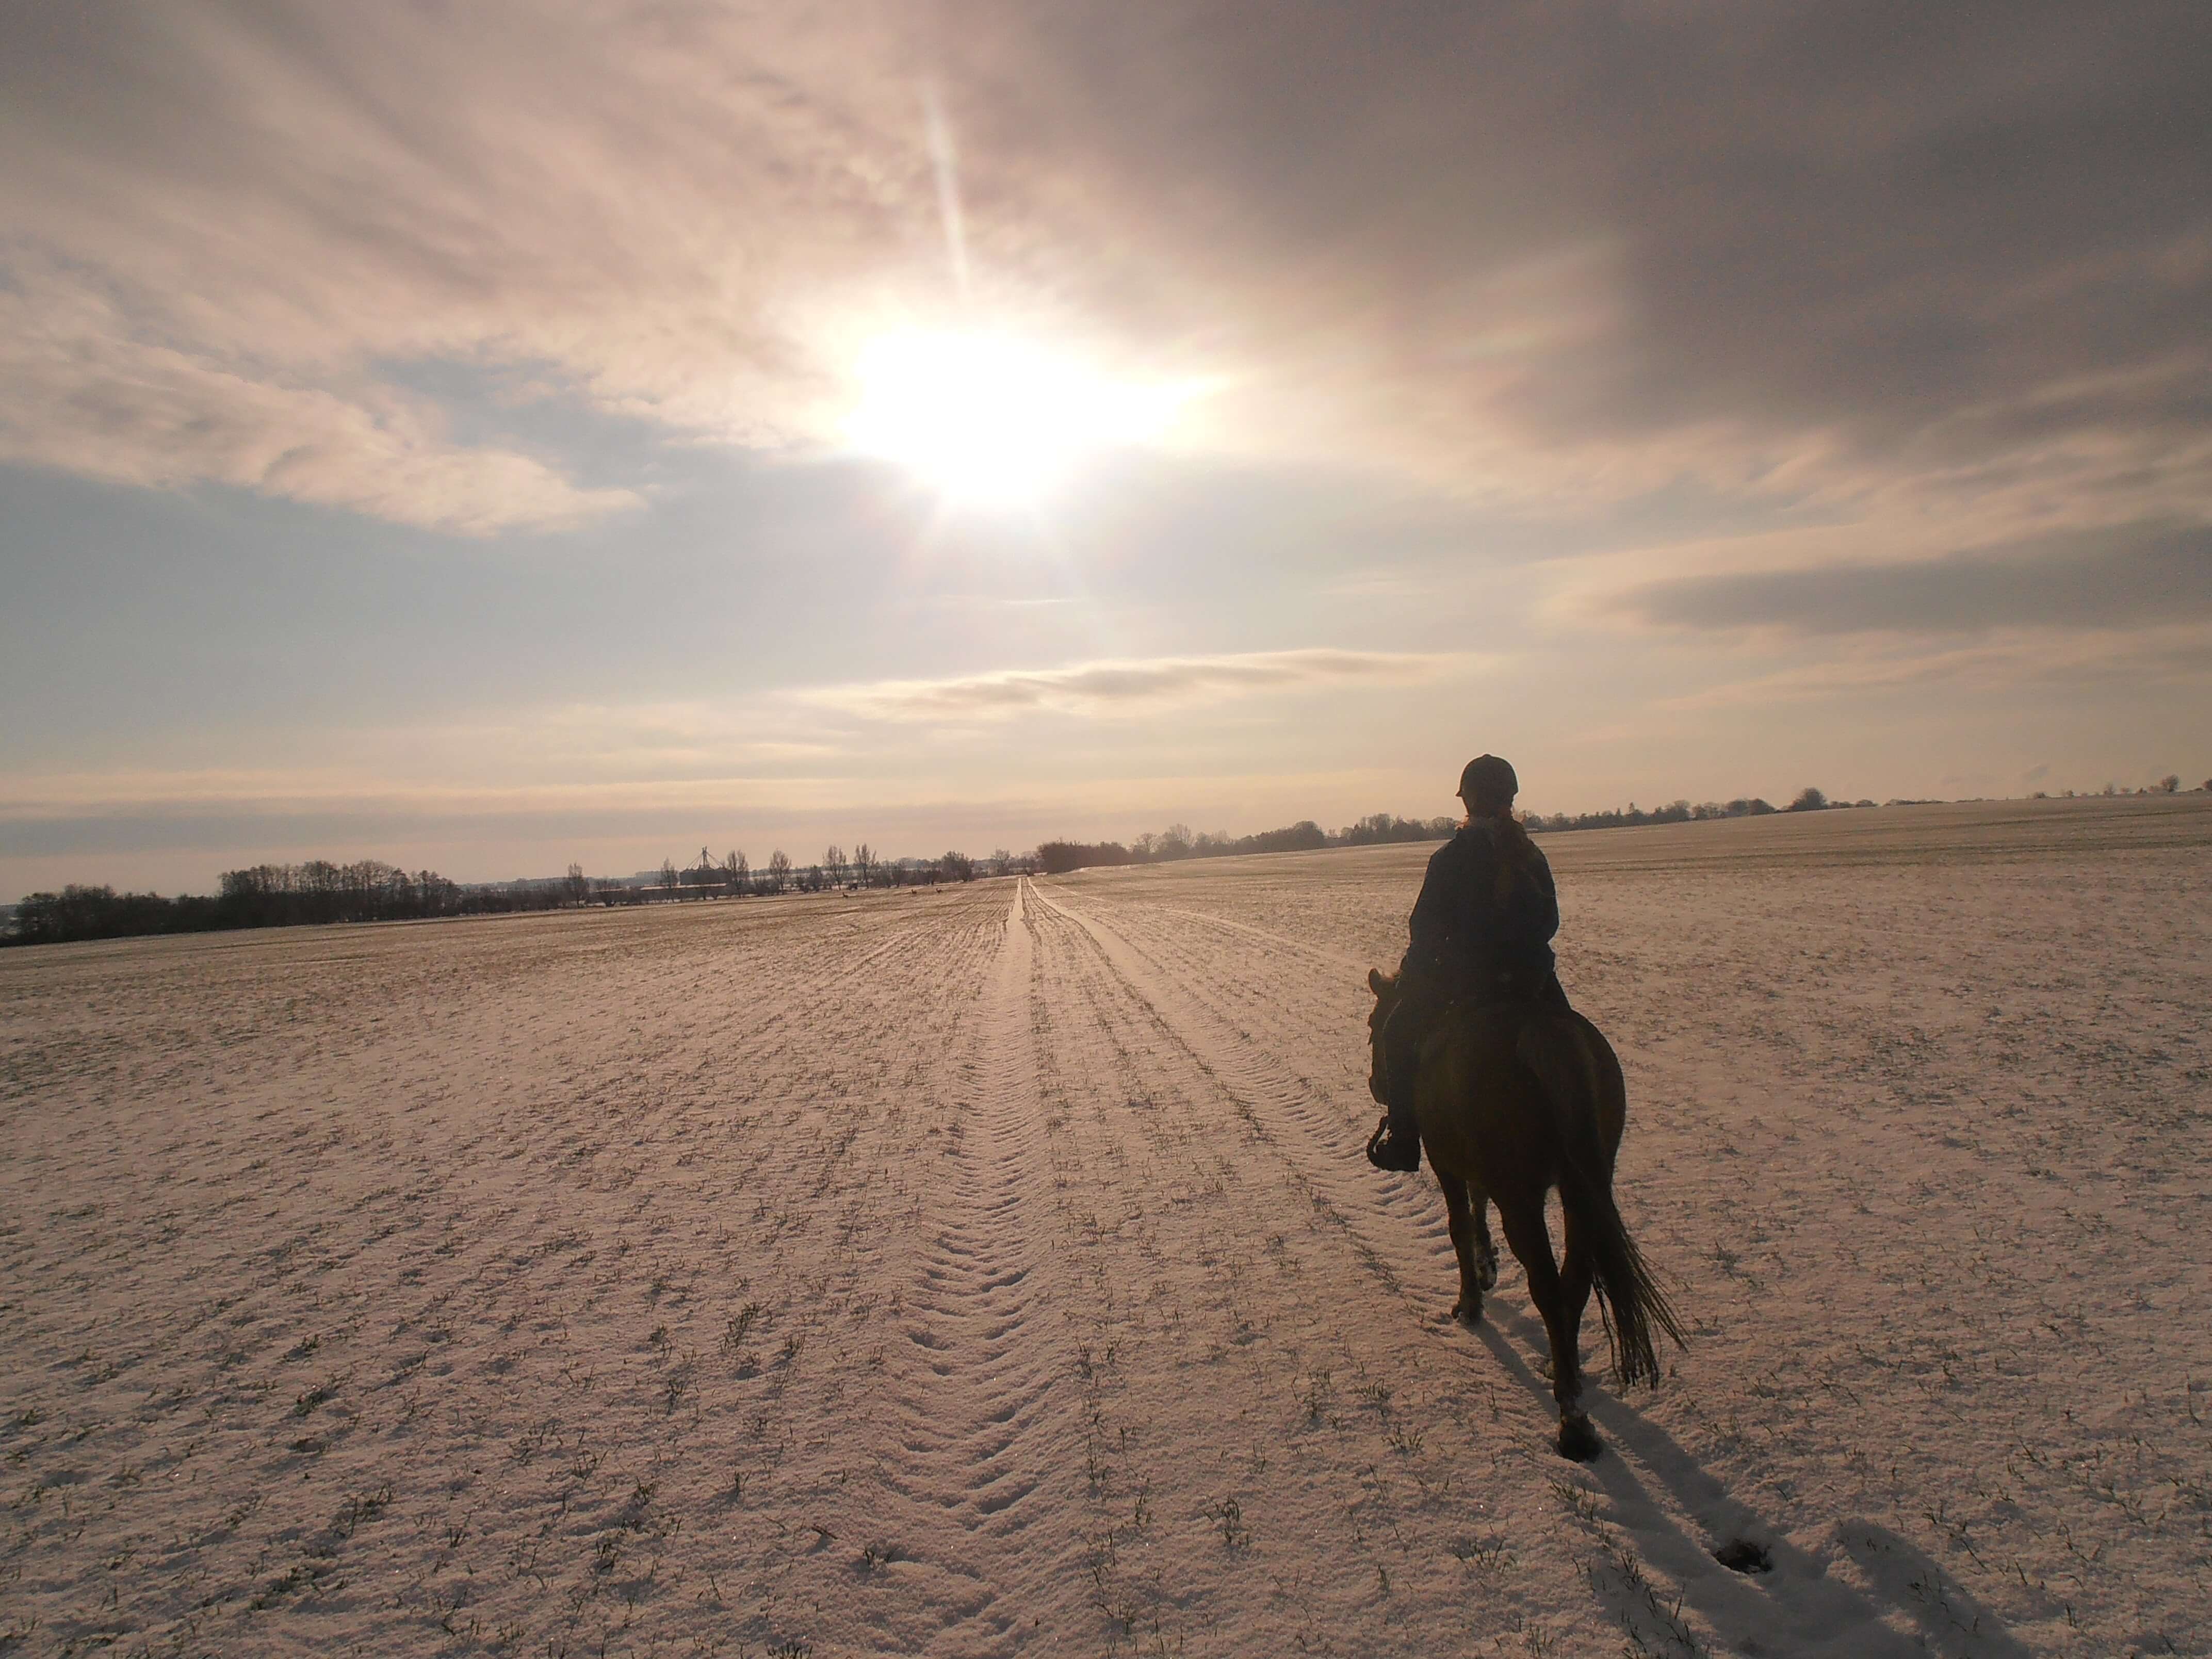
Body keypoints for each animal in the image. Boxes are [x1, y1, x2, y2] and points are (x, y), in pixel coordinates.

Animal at [1354, 969, 1681, 1460]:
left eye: (1376, 1025)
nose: (1377, 1085)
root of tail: (1545, 1037)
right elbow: (1478, 1204)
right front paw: (1487, 1266)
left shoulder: (1445, 1161)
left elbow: (1459, 1224)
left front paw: (1470, 1301)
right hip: (1581, 1190)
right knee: (1574, 1282)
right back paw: (1564, 1370)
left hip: (1522, 1196)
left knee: (1546, 1285)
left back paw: (1573, 1422)